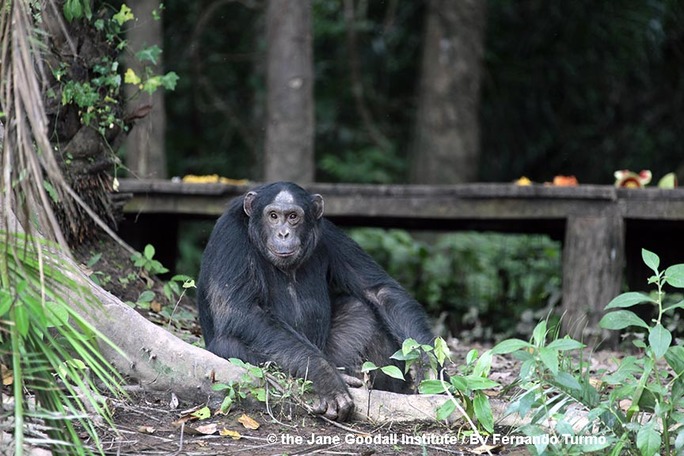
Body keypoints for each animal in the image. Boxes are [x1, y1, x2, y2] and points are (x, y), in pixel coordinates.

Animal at [195, 181, 436, 420]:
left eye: (293, 216)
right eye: (273, 216)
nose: (284, 233)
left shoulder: (330, 235)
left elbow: (379, 291)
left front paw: (428, 367)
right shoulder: (230, 236)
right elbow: (242, 310)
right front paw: (326, 378)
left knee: (360, 309)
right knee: (227, 344)